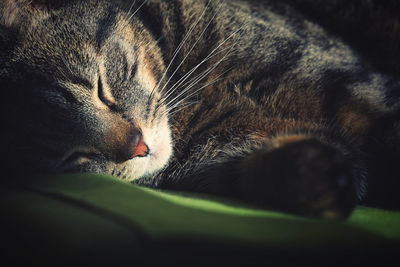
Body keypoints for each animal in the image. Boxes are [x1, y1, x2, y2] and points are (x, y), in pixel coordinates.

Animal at [0, 0, 400, 220]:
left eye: (99, 87)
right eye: (70, 158)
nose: (137, 145)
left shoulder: (361, 91)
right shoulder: (225, 153)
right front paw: (310, 175)